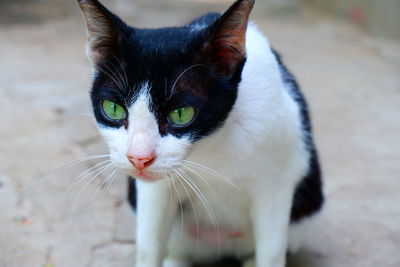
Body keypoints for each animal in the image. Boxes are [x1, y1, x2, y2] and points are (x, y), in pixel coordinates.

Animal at [76, 0, 324, 267]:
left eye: (181, 114)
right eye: (113, 108)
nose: (139, 158)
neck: (211, 147)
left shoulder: (277, 181)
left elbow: (271, 251)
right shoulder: (154, 192)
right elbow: (148, 247)